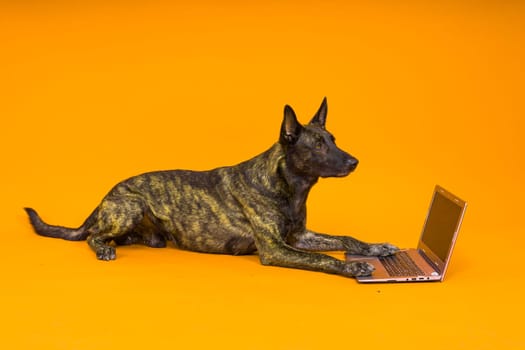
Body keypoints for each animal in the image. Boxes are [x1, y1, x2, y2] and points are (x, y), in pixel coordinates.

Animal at [23, 99, 398, 278]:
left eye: (333, 139)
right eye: (318, 146)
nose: (355, 162)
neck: (287, 186)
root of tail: (105, 197)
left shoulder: (300, 236)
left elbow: (347, 239)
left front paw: (376, 247)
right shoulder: (277, 249)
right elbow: (323, 259)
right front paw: (352, 268)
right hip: (130, 206)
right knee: (93, 237)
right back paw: (103, 248)